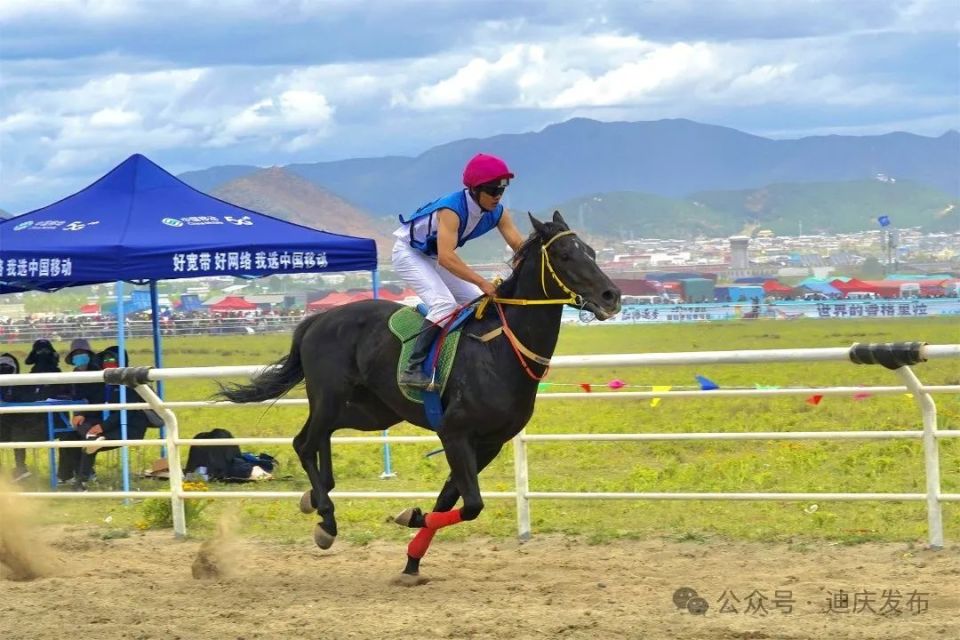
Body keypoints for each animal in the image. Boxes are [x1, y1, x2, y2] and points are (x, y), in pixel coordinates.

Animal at [218, 211, 622, 577]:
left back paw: (316, 497)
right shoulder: (455, 433)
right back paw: (327, 520)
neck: (500, 349)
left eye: (591, 252)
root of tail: (316, 319)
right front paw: (409, 519)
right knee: (304, 441)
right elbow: (471, 504)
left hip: (372, 411)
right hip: (330, 395)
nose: (612, 296)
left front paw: (413, 556)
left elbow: (450, 499)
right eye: (565, 255)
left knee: (324, 435)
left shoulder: (489, 443)